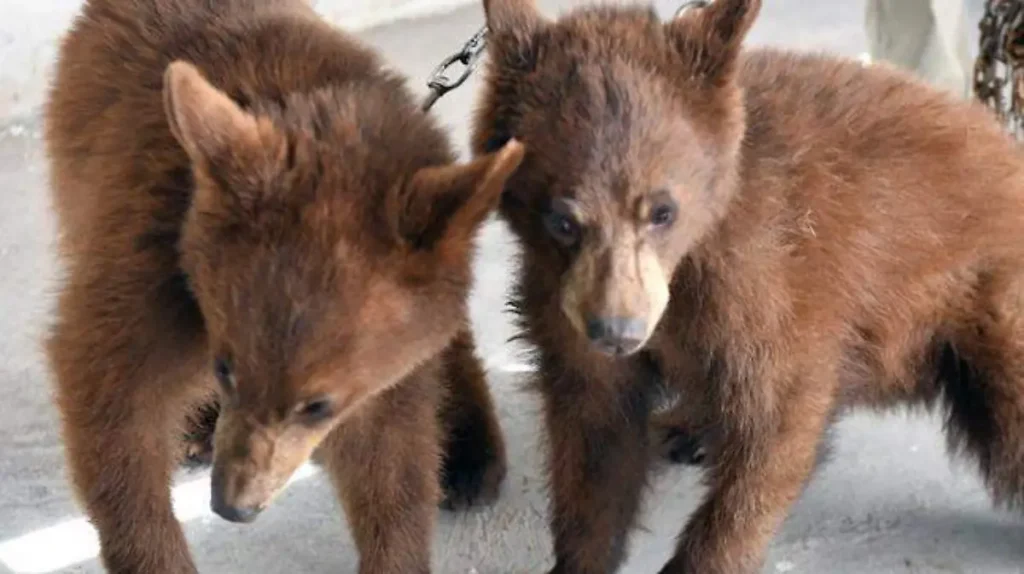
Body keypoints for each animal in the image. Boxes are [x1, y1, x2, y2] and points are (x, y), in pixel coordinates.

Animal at [43, 0, 523, 572]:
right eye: (226, 368)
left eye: (318, 404)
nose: (233, 507)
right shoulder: (150, 262)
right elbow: (115, 404)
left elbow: (389, 455)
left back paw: (472, 459)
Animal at [470, 0, 1024, 572]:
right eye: (562, 220)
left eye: (663, 211)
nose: (617, 332)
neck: (686, 262)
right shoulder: (560, 293)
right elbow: (594, 435)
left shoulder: (769, 281)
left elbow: (774, 423)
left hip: (985, 300)